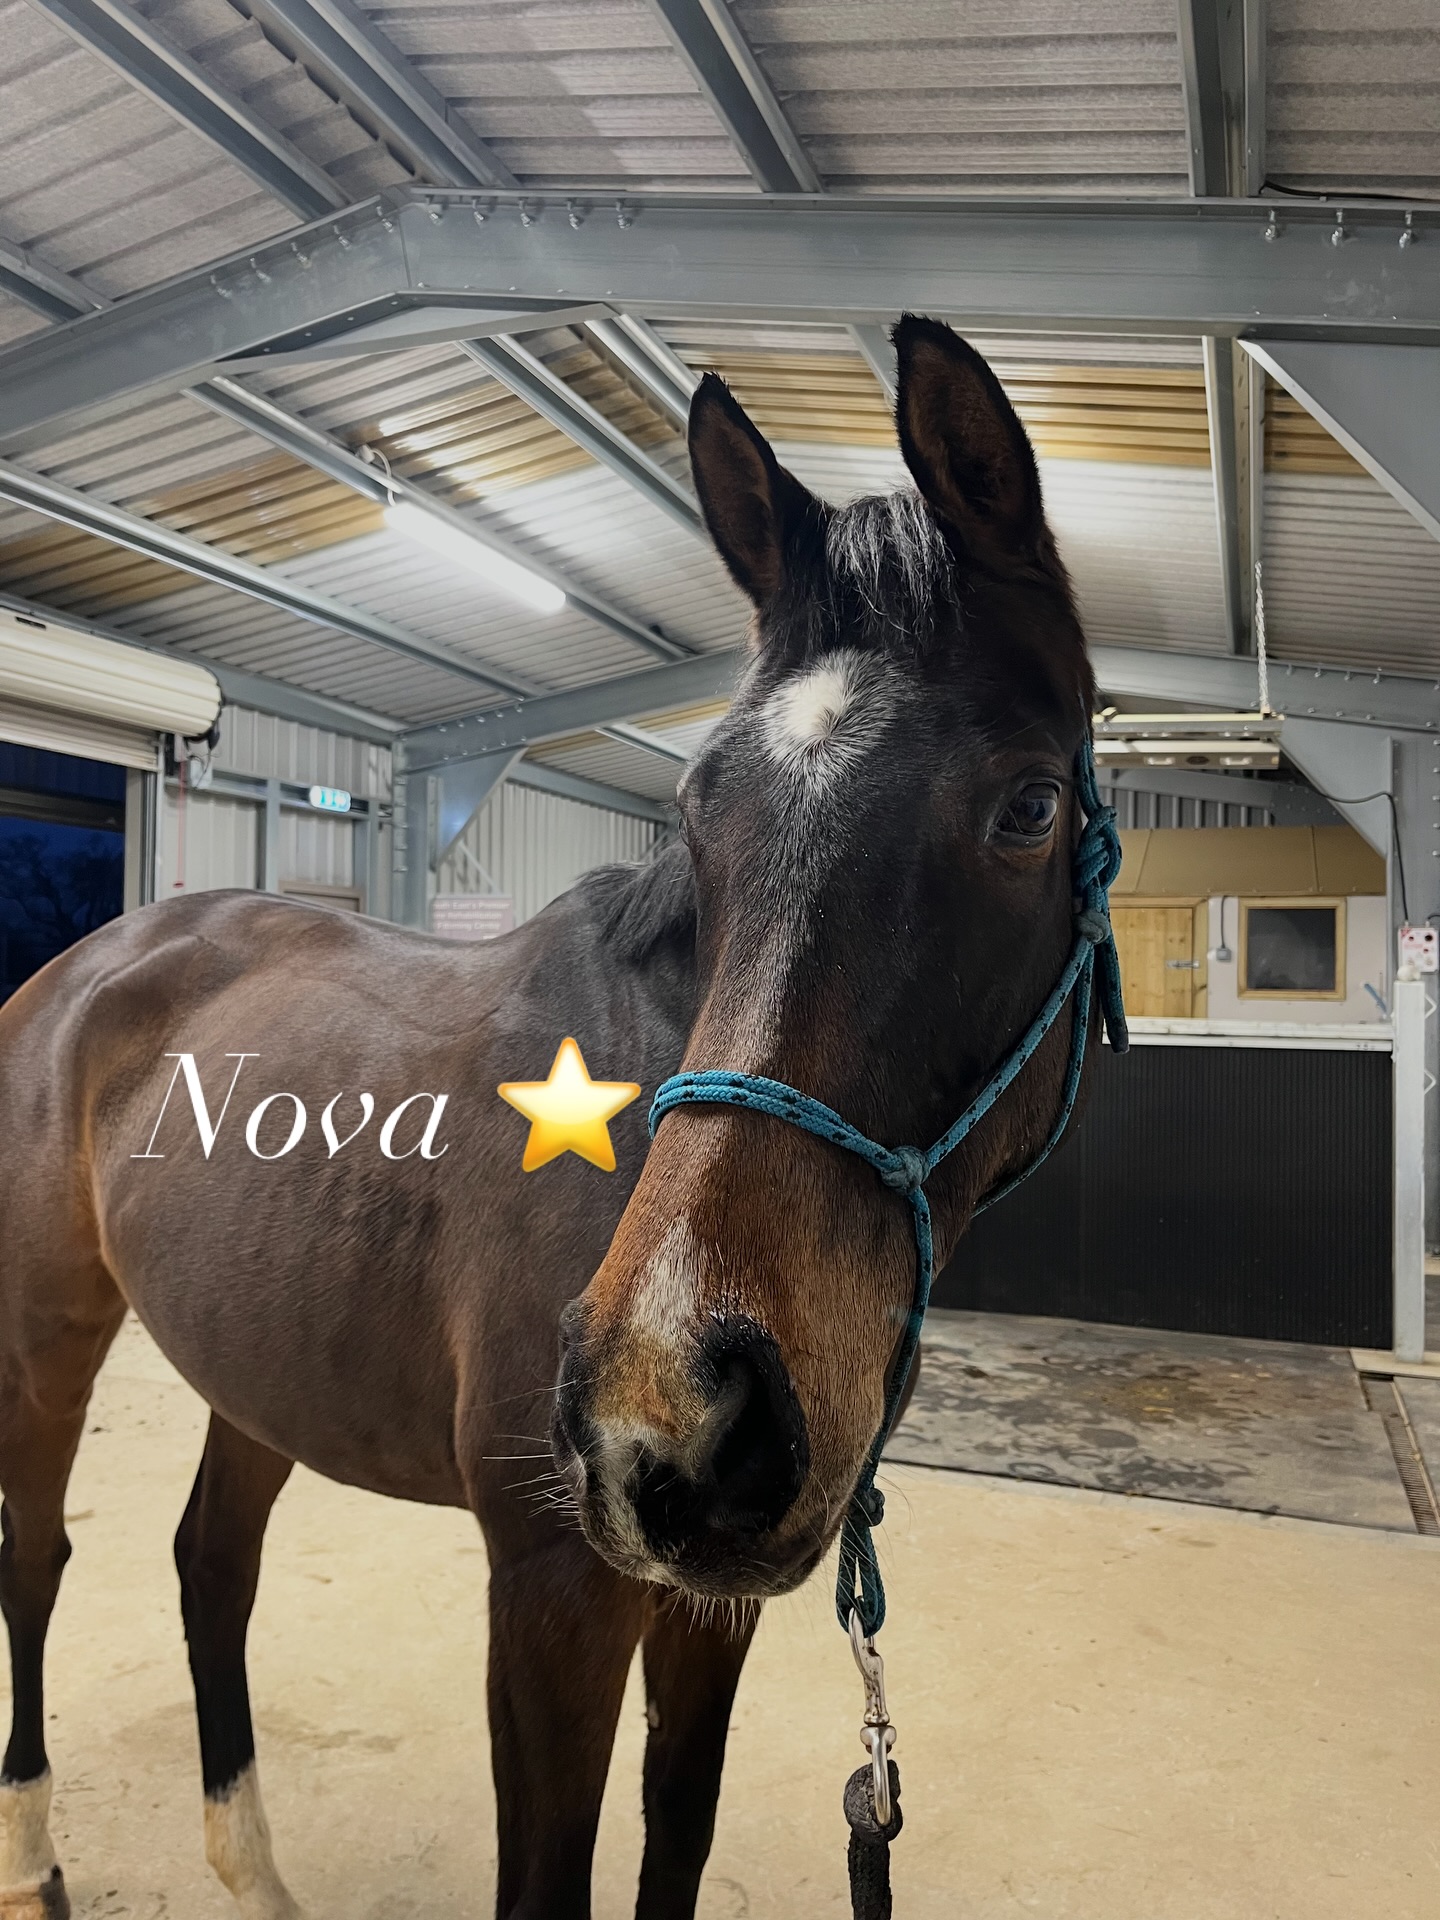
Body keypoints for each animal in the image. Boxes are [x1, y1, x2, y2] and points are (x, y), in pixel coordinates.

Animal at [0, 316, 1097, 1920]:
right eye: (700, 813)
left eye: (1029, 807)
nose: (672, 1410)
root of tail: (95, 962)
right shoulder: (555, 1594)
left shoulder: (703, 1603)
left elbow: (676, 1835)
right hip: (49, 1330)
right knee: (37, 1552)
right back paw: (35, 1859)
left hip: (255, 1365)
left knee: (211, 1564)